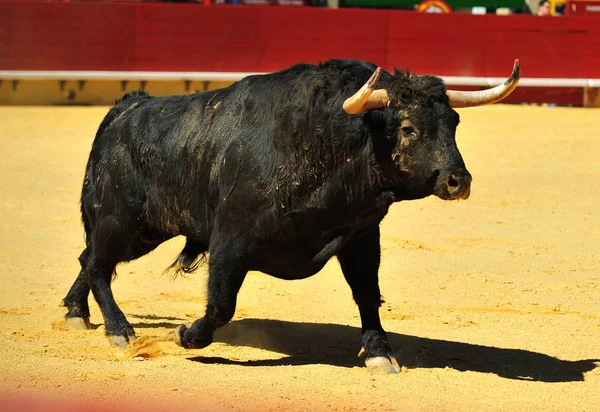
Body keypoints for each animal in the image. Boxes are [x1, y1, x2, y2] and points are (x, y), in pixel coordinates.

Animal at [62, 58, 520, 374]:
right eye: (407, 128)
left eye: (453, 122)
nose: (458, 181)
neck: (324, 141)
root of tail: (126, 109)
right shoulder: (230, 242)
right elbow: (221, 304)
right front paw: (187, 335)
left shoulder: (360, 237)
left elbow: (367, 293)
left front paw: (379, 354)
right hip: (121, 220)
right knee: (99, 263)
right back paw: (119, 331)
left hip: (143, 231)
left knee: (90, 258)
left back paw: (75, 313)